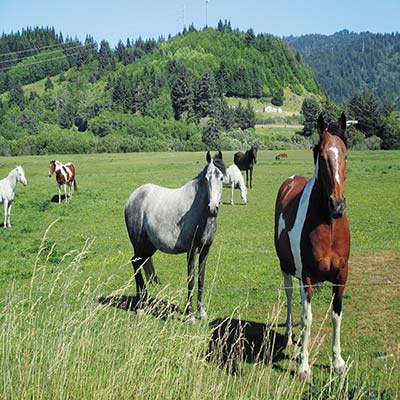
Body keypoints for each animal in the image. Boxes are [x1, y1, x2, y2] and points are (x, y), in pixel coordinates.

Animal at [123, 152, 227, 324]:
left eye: (221, 178)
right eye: (206, 179)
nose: (213, 208)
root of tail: (133, 196)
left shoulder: (205, 250)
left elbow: (201, 279)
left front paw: (202, 312)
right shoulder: (191, 251)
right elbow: (191, 280)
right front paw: (191, 316)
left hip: (149, 246)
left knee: (139, 263)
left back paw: (142, 300)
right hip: (138, 244)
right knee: (136, 263)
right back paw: (140, 307)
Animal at [276, 113, 350, 382]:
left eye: (345, 154)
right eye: (323, 156)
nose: (337, 206)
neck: (328, 226)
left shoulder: (341, 276)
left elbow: (336, 316)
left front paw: (337, 362)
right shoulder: (306, 275)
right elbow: (308, 319)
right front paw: (303, 366)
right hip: (287, 269)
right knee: (290, 297)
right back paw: (289, 335)